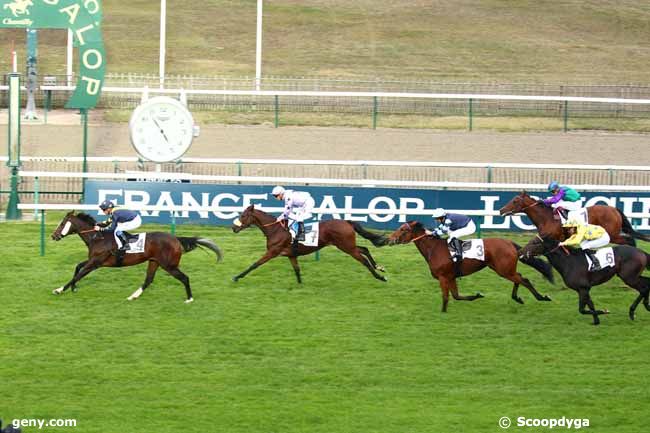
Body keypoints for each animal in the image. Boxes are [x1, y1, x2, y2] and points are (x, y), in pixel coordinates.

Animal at [50, 211, 223, 302]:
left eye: (62, 224)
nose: (53, 236)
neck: (97, 238)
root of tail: (175, 239)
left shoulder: (95, 263)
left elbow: (78, 274)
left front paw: (59, 289)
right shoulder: (94, 260)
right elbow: (78, 267)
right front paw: (73, 288)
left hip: (169, 265)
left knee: (184, 278)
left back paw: (189, 299)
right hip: (154, 262)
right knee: (149, 280)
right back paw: (133, 296)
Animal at [232, 204, 388, 282]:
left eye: (243, 215)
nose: (233, 227)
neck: (276, 229)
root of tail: (346, 221)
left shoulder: (272, 252)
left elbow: (255, 264)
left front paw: (237, 277)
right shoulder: (291, 255)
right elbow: (297, 270)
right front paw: (300, 285)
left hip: (347, 247)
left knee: (364, 260)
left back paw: (380, 277)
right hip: (348, 245)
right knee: (365, 249)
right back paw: (379, 268)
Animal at [384, 223, 552, 310]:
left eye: (403, 229)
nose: (390, 238)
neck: (434, 249)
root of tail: (510, 243)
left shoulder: (443, 277)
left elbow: (446, 297)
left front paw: (443, 312)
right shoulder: (451, 277)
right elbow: (456, 296)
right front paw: (477, 295)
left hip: (504, 270)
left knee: (525, 280)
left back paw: (542, 297)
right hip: (504, 270)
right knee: (520, 278)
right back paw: (517, 298)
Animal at [496, 191, 644, 245]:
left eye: (515, 201)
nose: (501, 210)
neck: (547, 218)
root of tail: (614, 209)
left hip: (612, 235)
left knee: (630, 241)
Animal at [520, 235, 648, 322]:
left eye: (535, 242)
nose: (521, 252)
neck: (568, 262)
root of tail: (641, 252)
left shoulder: (583, 288)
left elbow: (582, 309)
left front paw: (603, 311)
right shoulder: (584, 289)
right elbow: (590, 304)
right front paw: (596, 321)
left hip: (629, 277)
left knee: (643, 289)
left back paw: (634, 311)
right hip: (633, 276)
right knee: (647, 283)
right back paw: (646, 306)